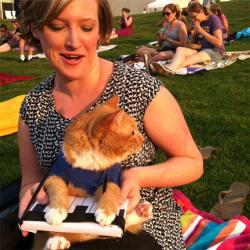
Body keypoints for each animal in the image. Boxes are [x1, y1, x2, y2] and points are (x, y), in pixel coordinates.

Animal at [34, 95, 153, 248]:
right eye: (133, 132)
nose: (143, 140)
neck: (90, 161)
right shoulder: (54, 175)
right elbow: (58, 190)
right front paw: (56, 211)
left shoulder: (110, 179)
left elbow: (111, 193)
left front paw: (105, 212)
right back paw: (56, 243)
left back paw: (141, 211)